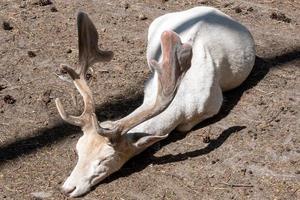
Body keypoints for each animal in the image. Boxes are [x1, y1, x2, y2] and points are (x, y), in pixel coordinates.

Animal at [55, 6, 254, 197]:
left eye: (105, 158)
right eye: (78, 150)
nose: (67, 189)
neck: (183, 99)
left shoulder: (215, 103)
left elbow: (184, 127)